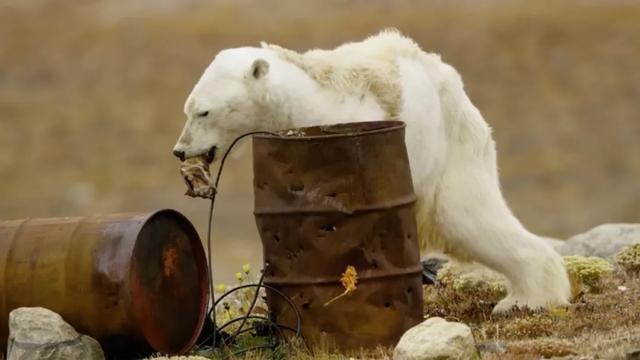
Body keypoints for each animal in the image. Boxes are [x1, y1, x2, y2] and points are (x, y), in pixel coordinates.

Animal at [174, 30, 568, 312]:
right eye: (187, 109)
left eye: (204, 112)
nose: (179, 150)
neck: (303, 101)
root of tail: (452, 84)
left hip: (450, 150)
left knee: (469, 218)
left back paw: (526, 299)